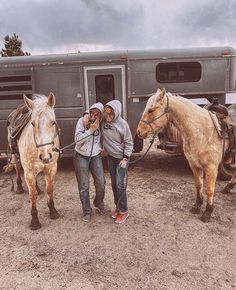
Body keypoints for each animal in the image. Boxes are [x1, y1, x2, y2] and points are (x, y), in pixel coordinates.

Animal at [7, 94, 60, 230]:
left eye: (53, 122)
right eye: (32, 123)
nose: (46, 156)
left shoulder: (51, 168)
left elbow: (49, 190)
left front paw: (53, 211)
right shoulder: (29, 172)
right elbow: (32, 196)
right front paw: (35, 221)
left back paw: (38, 188)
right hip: (15, 157)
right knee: (17, 169)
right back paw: (19, 187)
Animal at [136, 88, 229, 222]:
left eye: (151, 110)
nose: (139, 131)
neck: (202, 131)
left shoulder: (211, 167)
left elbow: (209, 189)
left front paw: (207, 212)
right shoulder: (194, 165)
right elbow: (198, 185)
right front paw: (197, 206)